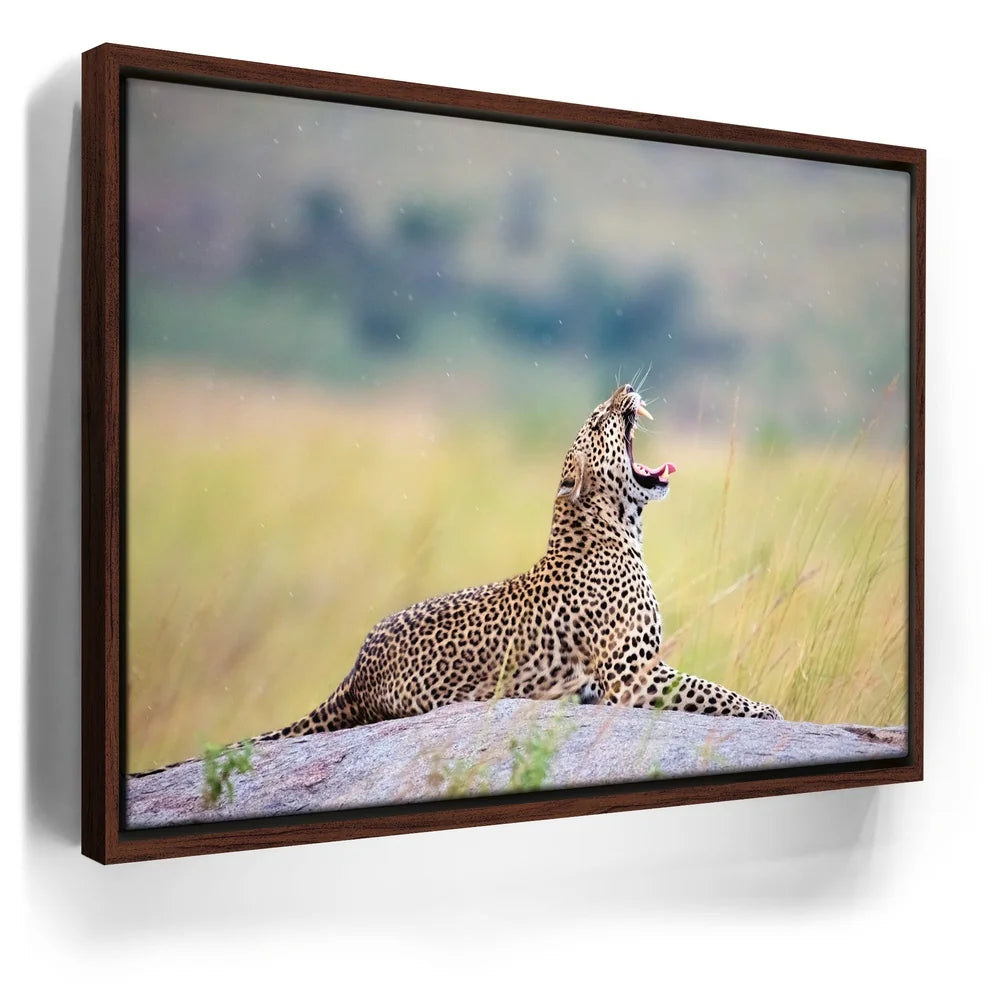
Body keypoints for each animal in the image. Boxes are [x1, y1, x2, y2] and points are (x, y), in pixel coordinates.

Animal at [134, 384, 780, 777]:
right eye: (600, 421)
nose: (625, 389)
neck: (618, 528)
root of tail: (355, 668)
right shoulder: (633, 675)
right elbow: (713, 693)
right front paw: (770, 714)